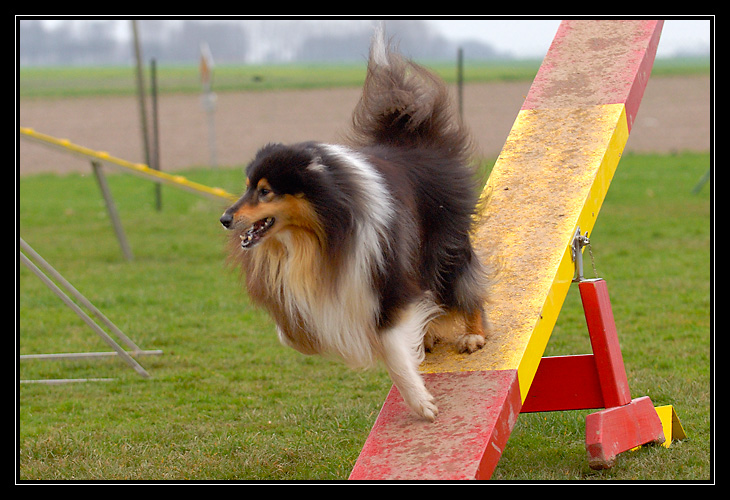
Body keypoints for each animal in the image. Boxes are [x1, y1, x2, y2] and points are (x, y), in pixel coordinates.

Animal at [219, 28, 486, 422]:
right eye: (247, 186)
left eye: (265, 191)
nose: (225, 219)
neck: (317, 233)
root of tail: (412, 139)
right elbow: (292, 333)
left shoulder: (386, 276)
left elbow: (391, 346)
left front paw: (420, 403)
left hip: (442, 244)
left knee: (465, 283)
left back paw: (473, 334)